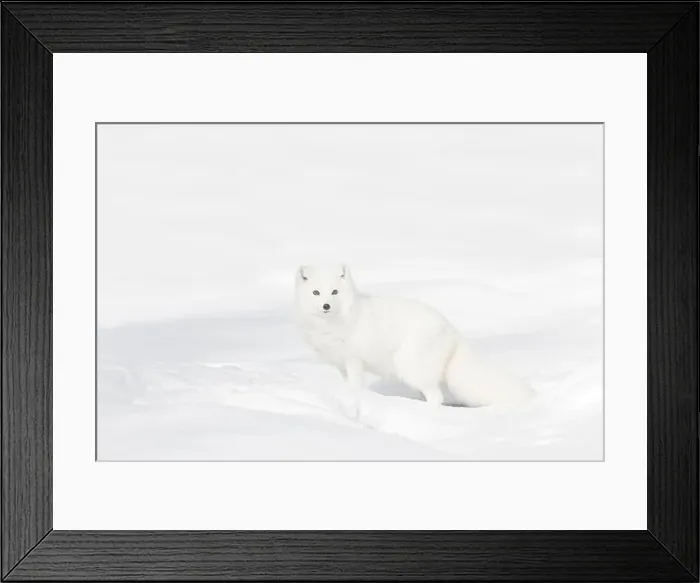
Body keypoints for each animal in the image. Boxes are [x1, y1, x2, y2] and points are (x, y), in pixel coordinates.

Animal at [294, 265, 534, 407]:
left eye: (334, 292)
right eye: (316, 292)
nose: (325, 306)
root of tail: (452, 330)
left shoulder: (354, 360)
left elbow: (355, 385)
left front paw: (356, 399)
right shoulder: (340, 363)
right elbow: (346, 384)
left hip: (411, 368)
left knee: (436, 397)